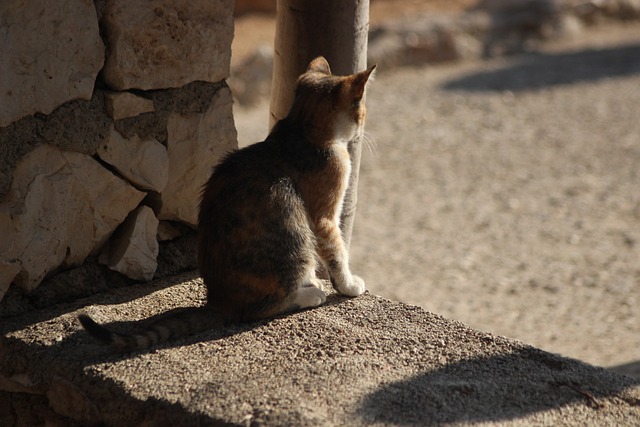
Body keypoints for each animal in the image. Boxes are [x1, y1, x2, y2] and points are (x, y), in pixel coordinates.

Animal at [79, 56, 376, 352]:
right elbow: (337, 252)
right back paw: (310, 294)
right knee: (259, 309)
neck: (300, 130)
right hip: (294, 234)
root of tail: (218, 302)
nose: (364, 125)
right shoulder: (324, 216)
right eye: (362, 109)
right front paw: (348, 285)